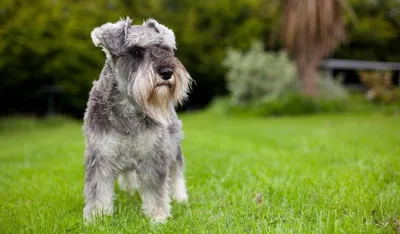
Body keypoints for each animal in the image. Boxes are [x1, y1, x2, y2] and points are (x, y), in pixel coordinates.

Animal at [82, 16, 192, 223]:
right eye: (136, 51)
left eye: (165, 48)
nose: (167, 72)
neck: (129, 107)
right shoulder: (101, 155)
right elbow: (98, 190)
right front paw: (97, 218)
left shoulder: (154, 154)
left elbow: (156, 190)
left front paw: (158, 217)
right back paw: (130, 191)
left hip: (173, 145)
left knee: (176, 171)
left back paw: (180, 196)